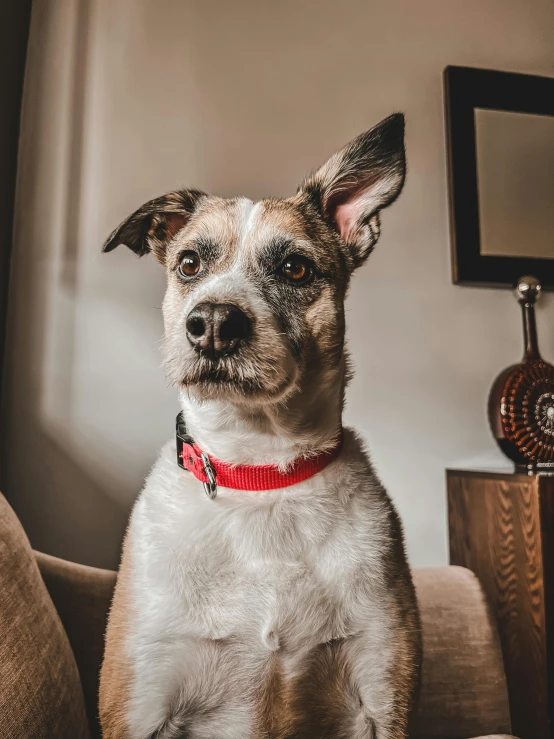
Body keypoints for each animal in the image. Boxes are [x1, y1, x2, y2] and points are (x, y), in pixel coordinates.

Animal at [98, 111, 418, 739]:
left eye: (295, 267)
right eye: (189, 264)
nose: (213, 324)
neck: (261, 473)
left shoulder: (382, 691)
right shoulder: (142, 699)